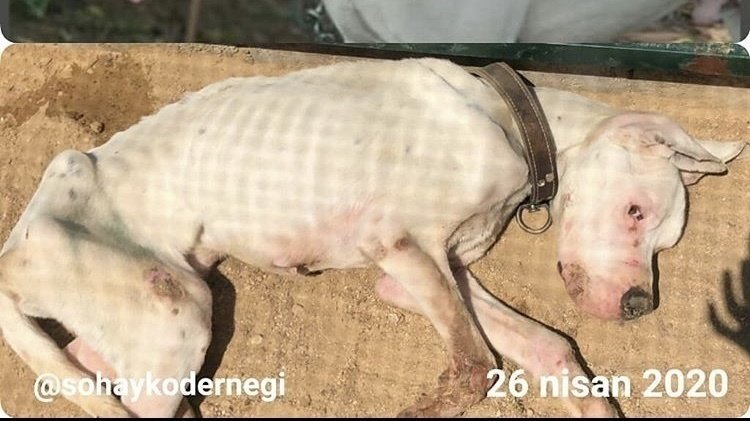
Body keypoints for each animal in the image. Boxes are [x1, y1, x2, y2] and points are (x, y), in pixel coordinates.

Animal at [0, 57, 746, 417]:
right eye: (635, 212)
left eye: (663, 242)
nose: (640, 306)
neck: (512, 119)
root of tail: (12, 255)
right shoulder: (402, 247)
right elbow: (474, 369)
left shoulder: (431, 269)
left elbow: (549, 346)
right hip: (176, 313)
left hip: (150, 313)